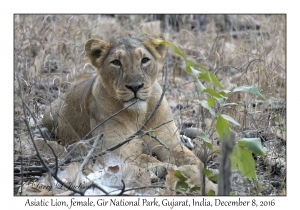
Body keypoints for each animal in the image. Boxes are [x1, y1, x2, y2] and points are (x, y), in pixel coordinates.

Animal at [42, 35, 216, 194]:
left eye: (144, 60)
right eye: (116, 62)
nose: (135, 86)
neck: (138, 114)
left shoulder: (170, 143)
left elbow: (192, 159)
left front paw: (197, 171)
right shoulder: (114, 151)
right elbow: (142, 158)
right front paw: (160, 167)